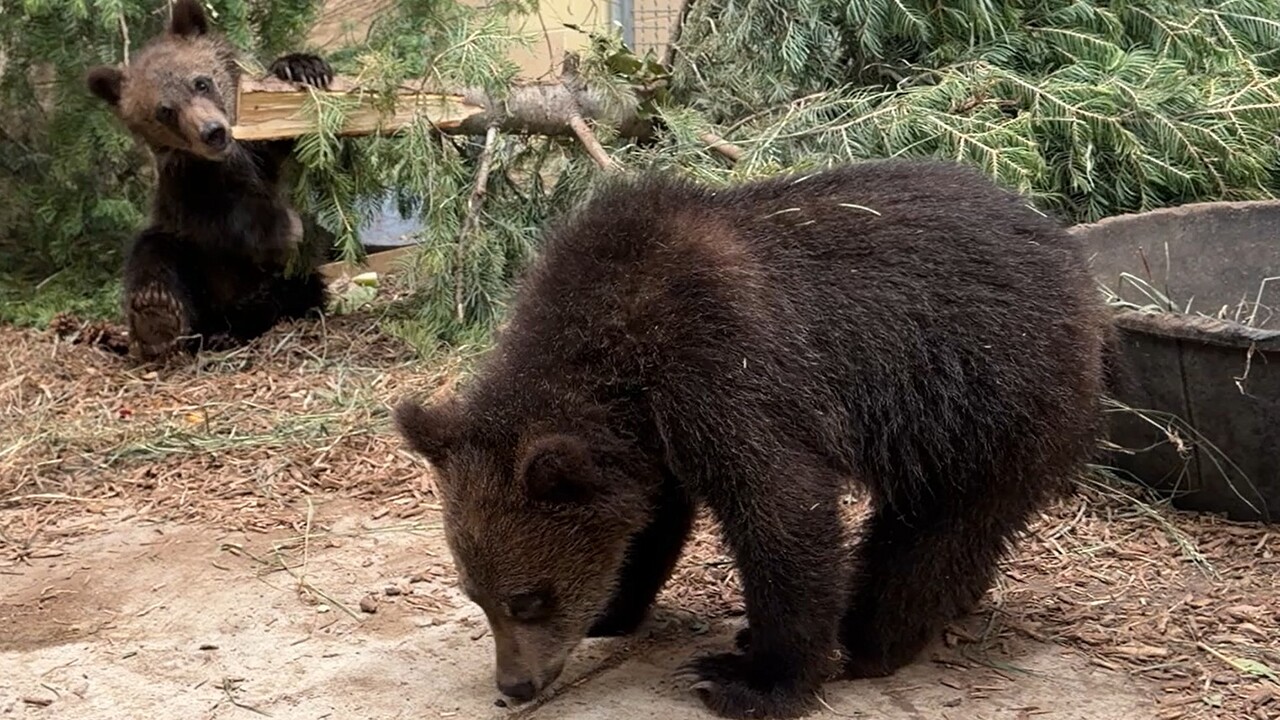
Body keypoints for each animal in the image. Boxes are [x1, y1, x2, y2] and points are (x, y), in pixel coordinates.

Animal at [85, 0, 333, 362]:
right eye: (165, 111)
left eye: (201, 82)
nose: (212, 132)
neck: (227, 162)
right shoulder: (192, 192)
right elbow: (233, 218)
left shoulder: (262, 159)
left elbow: (285, 143)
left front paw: (302, 67)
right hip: (187, 254)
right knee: (153, 255)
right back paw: (159, 314)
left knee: (299, 287)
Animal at [392, 158, 1111, 719]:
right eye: (476, 596)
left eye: (528, 598)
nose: (515, 685)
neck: (617, 358)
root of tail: (1076, 264)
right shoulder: (653, 436)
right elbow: (652, 518)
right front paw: (617, 607)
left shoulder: (725, 369)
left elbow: (781, 510)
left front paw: (751, 679)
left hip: (982, 397)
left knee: (934, 531)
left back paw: (871, 639)